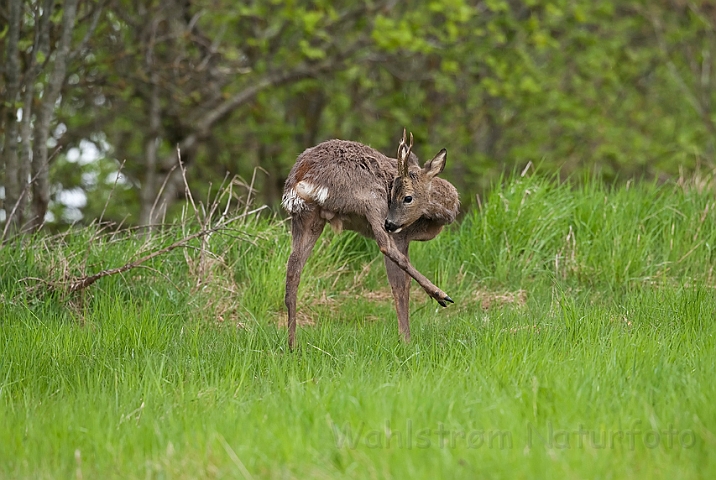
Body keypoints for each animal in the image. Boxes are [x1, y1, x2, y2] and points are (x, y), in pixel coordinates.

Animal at [282, 129, 458, 346]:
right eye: (396, 194)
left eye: (407, 197)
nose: (390, 223)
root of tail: (300, 177)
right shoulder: (401, 236)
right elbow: (400, 284)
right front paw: (406, 339)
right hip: (370, 198)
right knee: (385, 245)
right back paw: (441, 294)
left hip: (306, 217)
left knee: (293, 268)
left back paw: (292, 345)